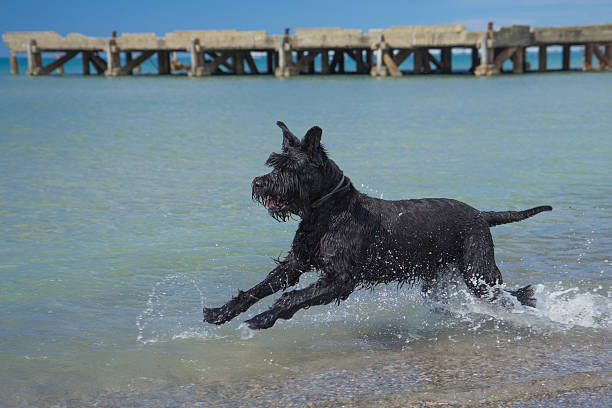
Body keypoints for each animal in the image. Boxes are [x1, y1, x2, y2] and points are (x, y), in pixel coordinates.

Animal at [203, 122, 552, 330]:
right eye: (273, 164)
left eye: (289, 167)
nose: (258, 183)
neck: (328, 213)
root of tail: (481, 214)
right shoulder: (296, 263)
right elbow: (259, 288)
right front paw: (221, 312)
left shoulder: (341, 279)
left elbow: (291, 298)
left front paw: (263, 318)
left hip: (479, 272)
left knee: (512, 294)